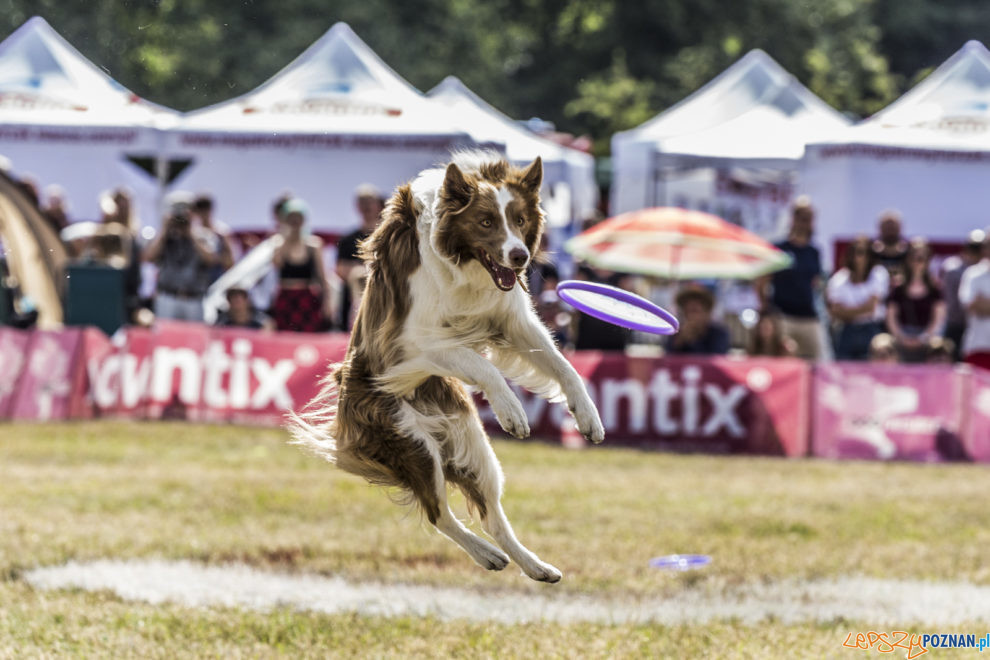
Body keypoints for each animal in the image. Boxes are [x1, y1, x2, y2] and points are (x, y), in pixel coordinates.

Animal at [288, 151, 604, 584]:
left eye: (520, 220)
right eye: (485, 221)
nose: (519, 256)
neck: (463, 262)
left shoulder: (511, 320)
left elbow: (563, 366)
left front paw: (587, 416)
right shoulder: (413, 340)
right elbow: (483, 367)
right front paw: (512, 410)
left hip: (470, 441)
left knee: (491, 516)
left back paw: (533, 566)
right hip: (413, 443)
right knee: (439, 513)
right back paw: (487, 555)